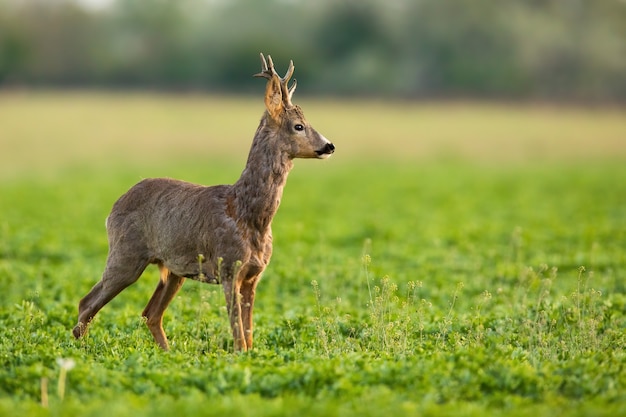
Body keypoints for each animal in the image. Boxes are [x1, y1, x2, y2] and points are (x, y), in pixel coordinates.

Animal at [70, 53, 334, 350]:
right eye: (298, 126)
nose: (329, 146)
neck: (246, 214)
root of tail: (113, 208)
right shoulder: (229, 267)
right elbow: (238, 335)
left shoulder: (253, 276)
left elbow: (249, 334)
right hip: (126, 254)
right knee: (87, 302)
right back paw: (81, 350)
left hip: (173, 270)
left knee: (150, 314)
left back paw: (168, 354)